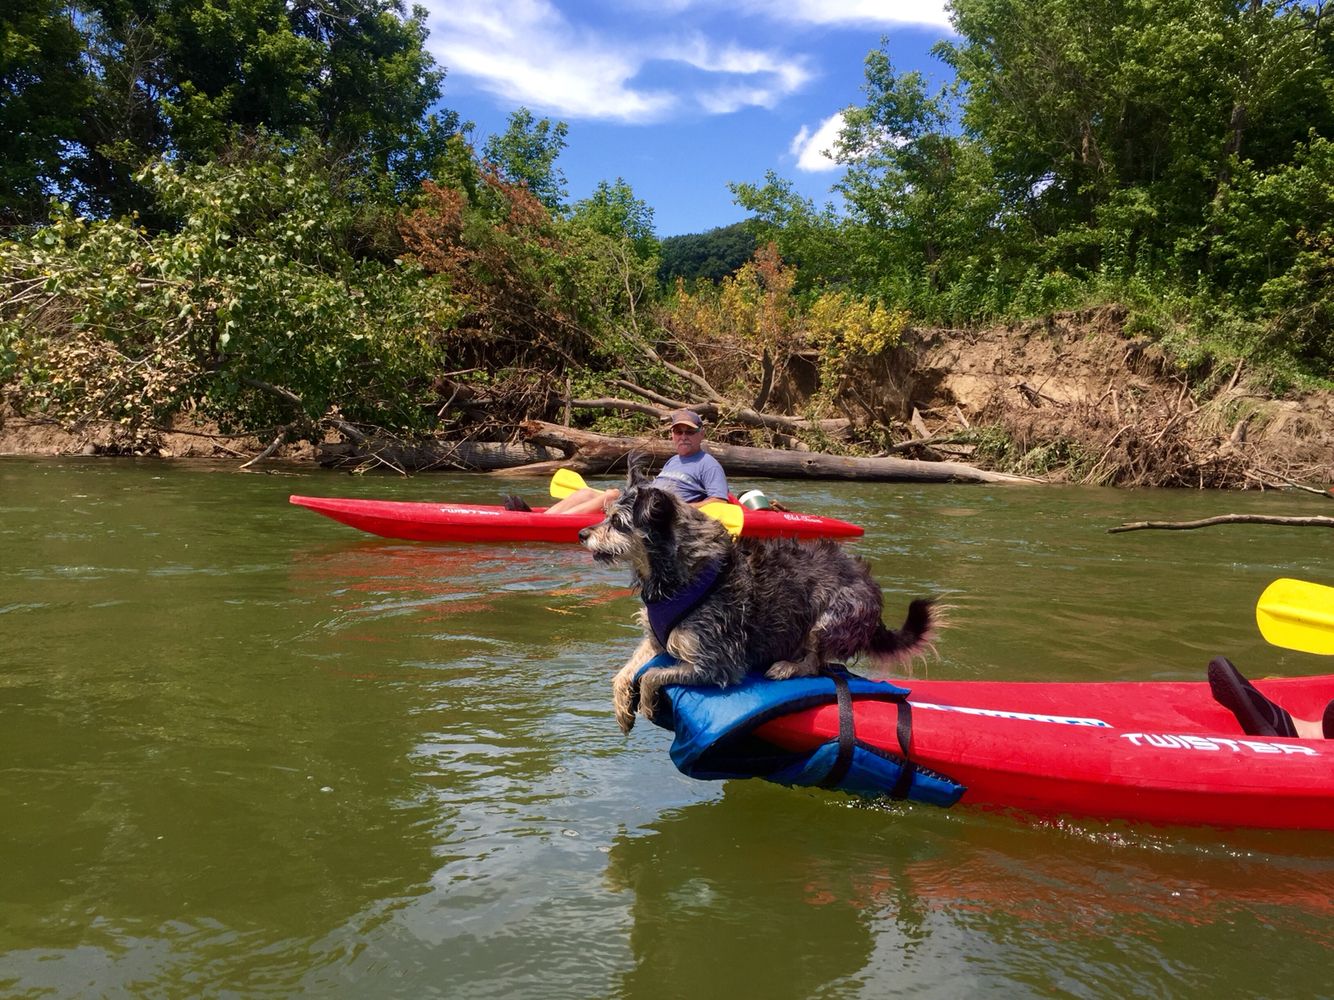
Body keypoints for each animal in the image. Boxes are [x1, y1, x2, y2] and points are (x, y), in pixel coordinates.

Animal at [581, 469, 939, 736]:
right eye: (605, 516)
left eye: (618, 523)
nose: (583, 534)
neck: (676, 575)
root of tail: (874, 596)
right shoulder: (657, 641)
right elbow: (626, 671)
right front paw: (622, 708)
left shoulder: (716, 663)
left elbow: (653, 676)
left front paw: (646, 703)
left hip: (831, 616)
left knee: (815, 663)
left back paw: (788, 666)